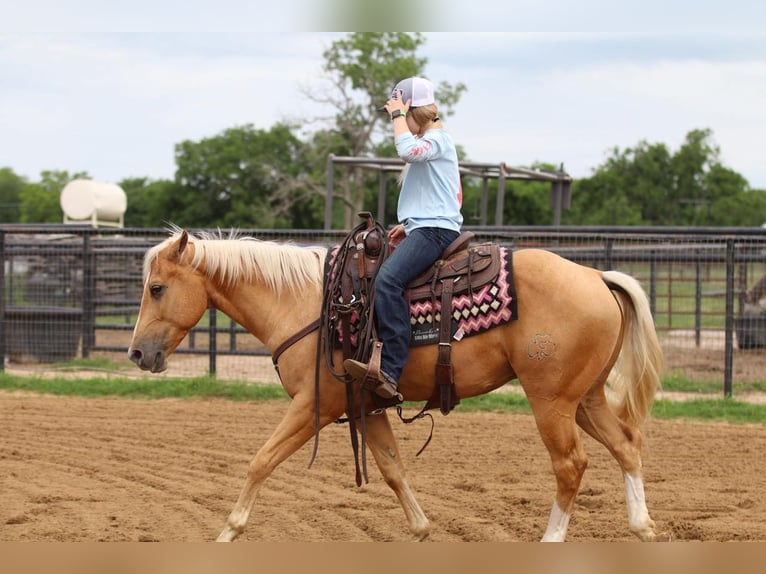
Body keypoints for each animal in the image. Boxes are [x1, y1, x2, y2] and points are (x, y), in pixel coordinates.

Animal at [127, 231, 664, 544]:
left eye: (156, 288)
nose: (136, 354)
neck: (305, 302)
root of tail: (597, 275)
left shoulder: (313, 407)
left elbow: (260, 460)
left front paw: (227, 534)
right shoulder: (369, 408)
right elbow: (392, 470)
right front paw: (423, 531)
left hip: (552, 402)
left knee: (570, 466)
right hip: (585, 399)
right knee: (627, 444)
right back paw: (642, 527)